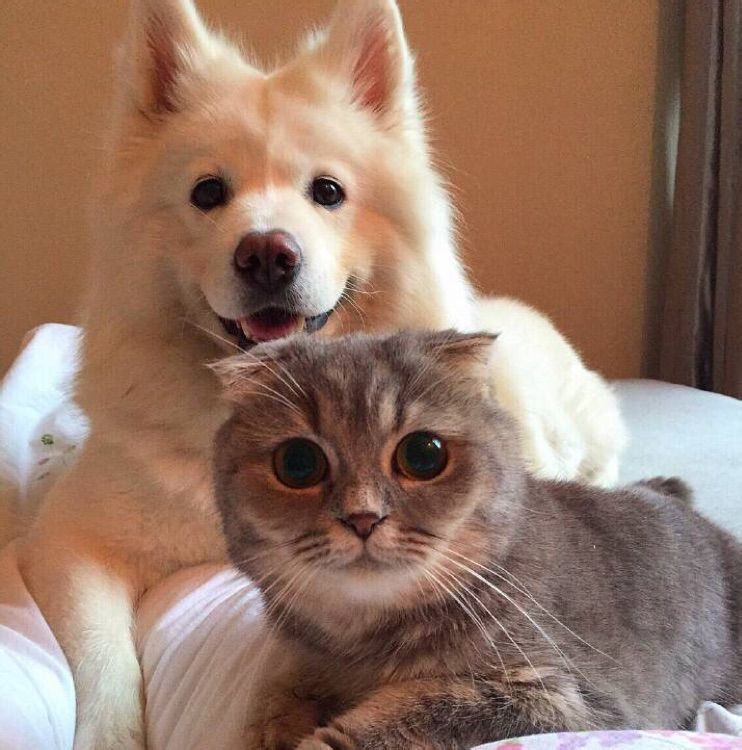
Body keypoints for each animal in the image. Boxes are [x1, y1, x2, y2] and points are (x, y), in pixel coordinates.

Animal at [212, 331, 741, 750]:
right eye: (297, 463)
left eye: (423, 455)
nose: (363, 518)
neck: (359, 645)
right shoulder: (298, 665)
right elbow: (275, 700)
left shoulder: (570, 701)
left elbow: (413, 709)